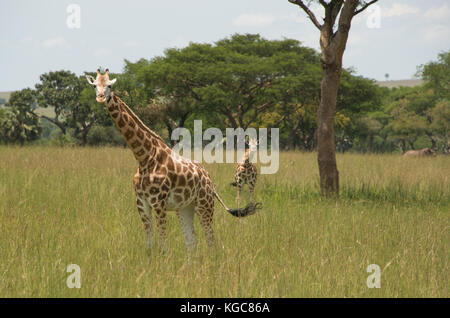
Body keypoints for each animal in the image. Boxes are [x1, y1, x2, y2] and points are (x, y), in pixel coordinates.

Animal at [86, 68, 260, 255]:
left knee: (210, 239)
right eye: (95, 85)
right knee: (192, 241)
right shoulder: (141, 203)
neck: (144, 157)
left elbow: (163, 245)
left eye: (110, 85)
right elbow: (149, 245)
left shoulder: (158, 203)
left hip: (204, 204)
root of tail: (210, 182)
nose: (101, 97)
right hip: (184, 208)